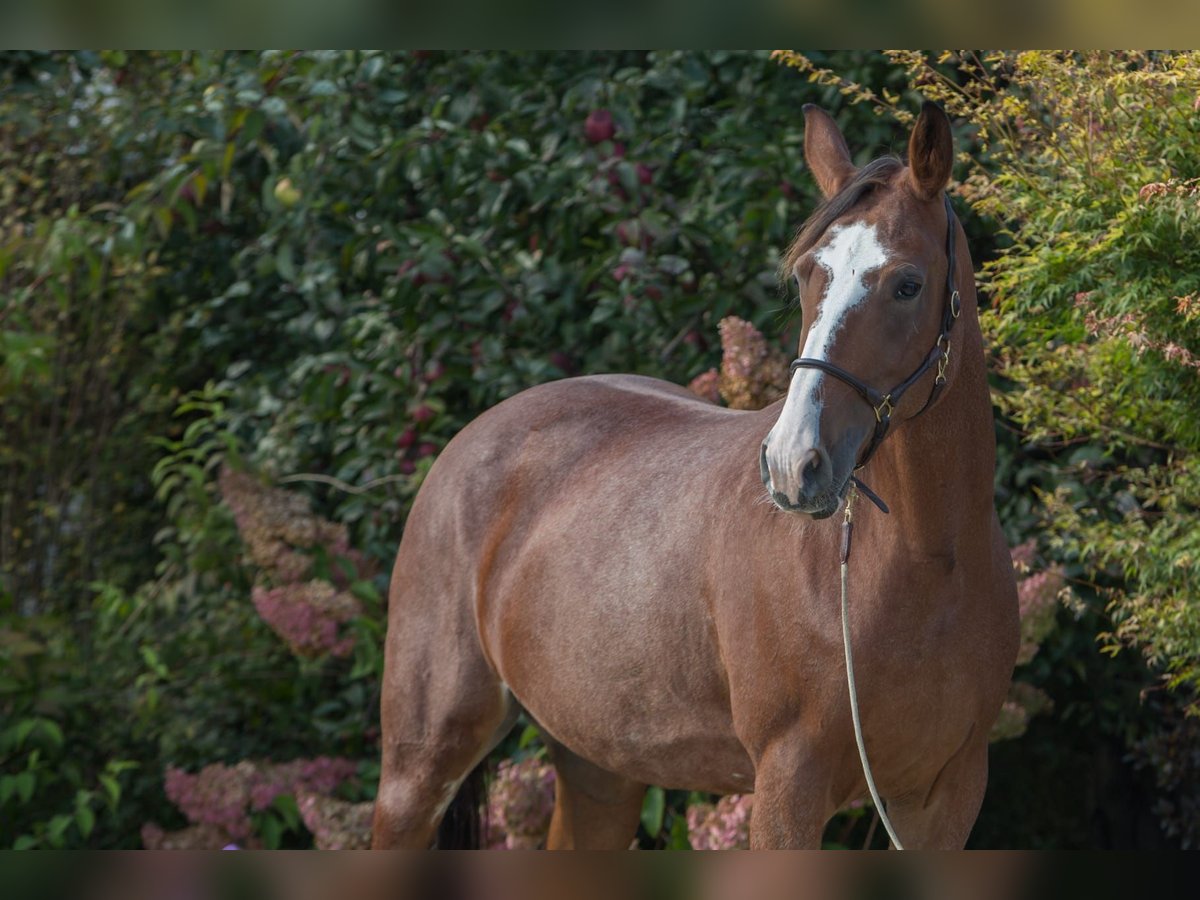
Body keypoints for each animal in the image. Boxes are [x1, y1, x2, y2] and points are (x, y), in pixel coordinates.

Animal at [369, 102, 1017, 849]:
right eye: (807, 275)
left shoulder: (945, 798)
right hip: (420, 766)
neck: (927, 564)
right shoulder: (788, 789)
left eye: (908, 284)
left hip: (600, 766)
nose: (794, 464)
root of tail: (468, 442)